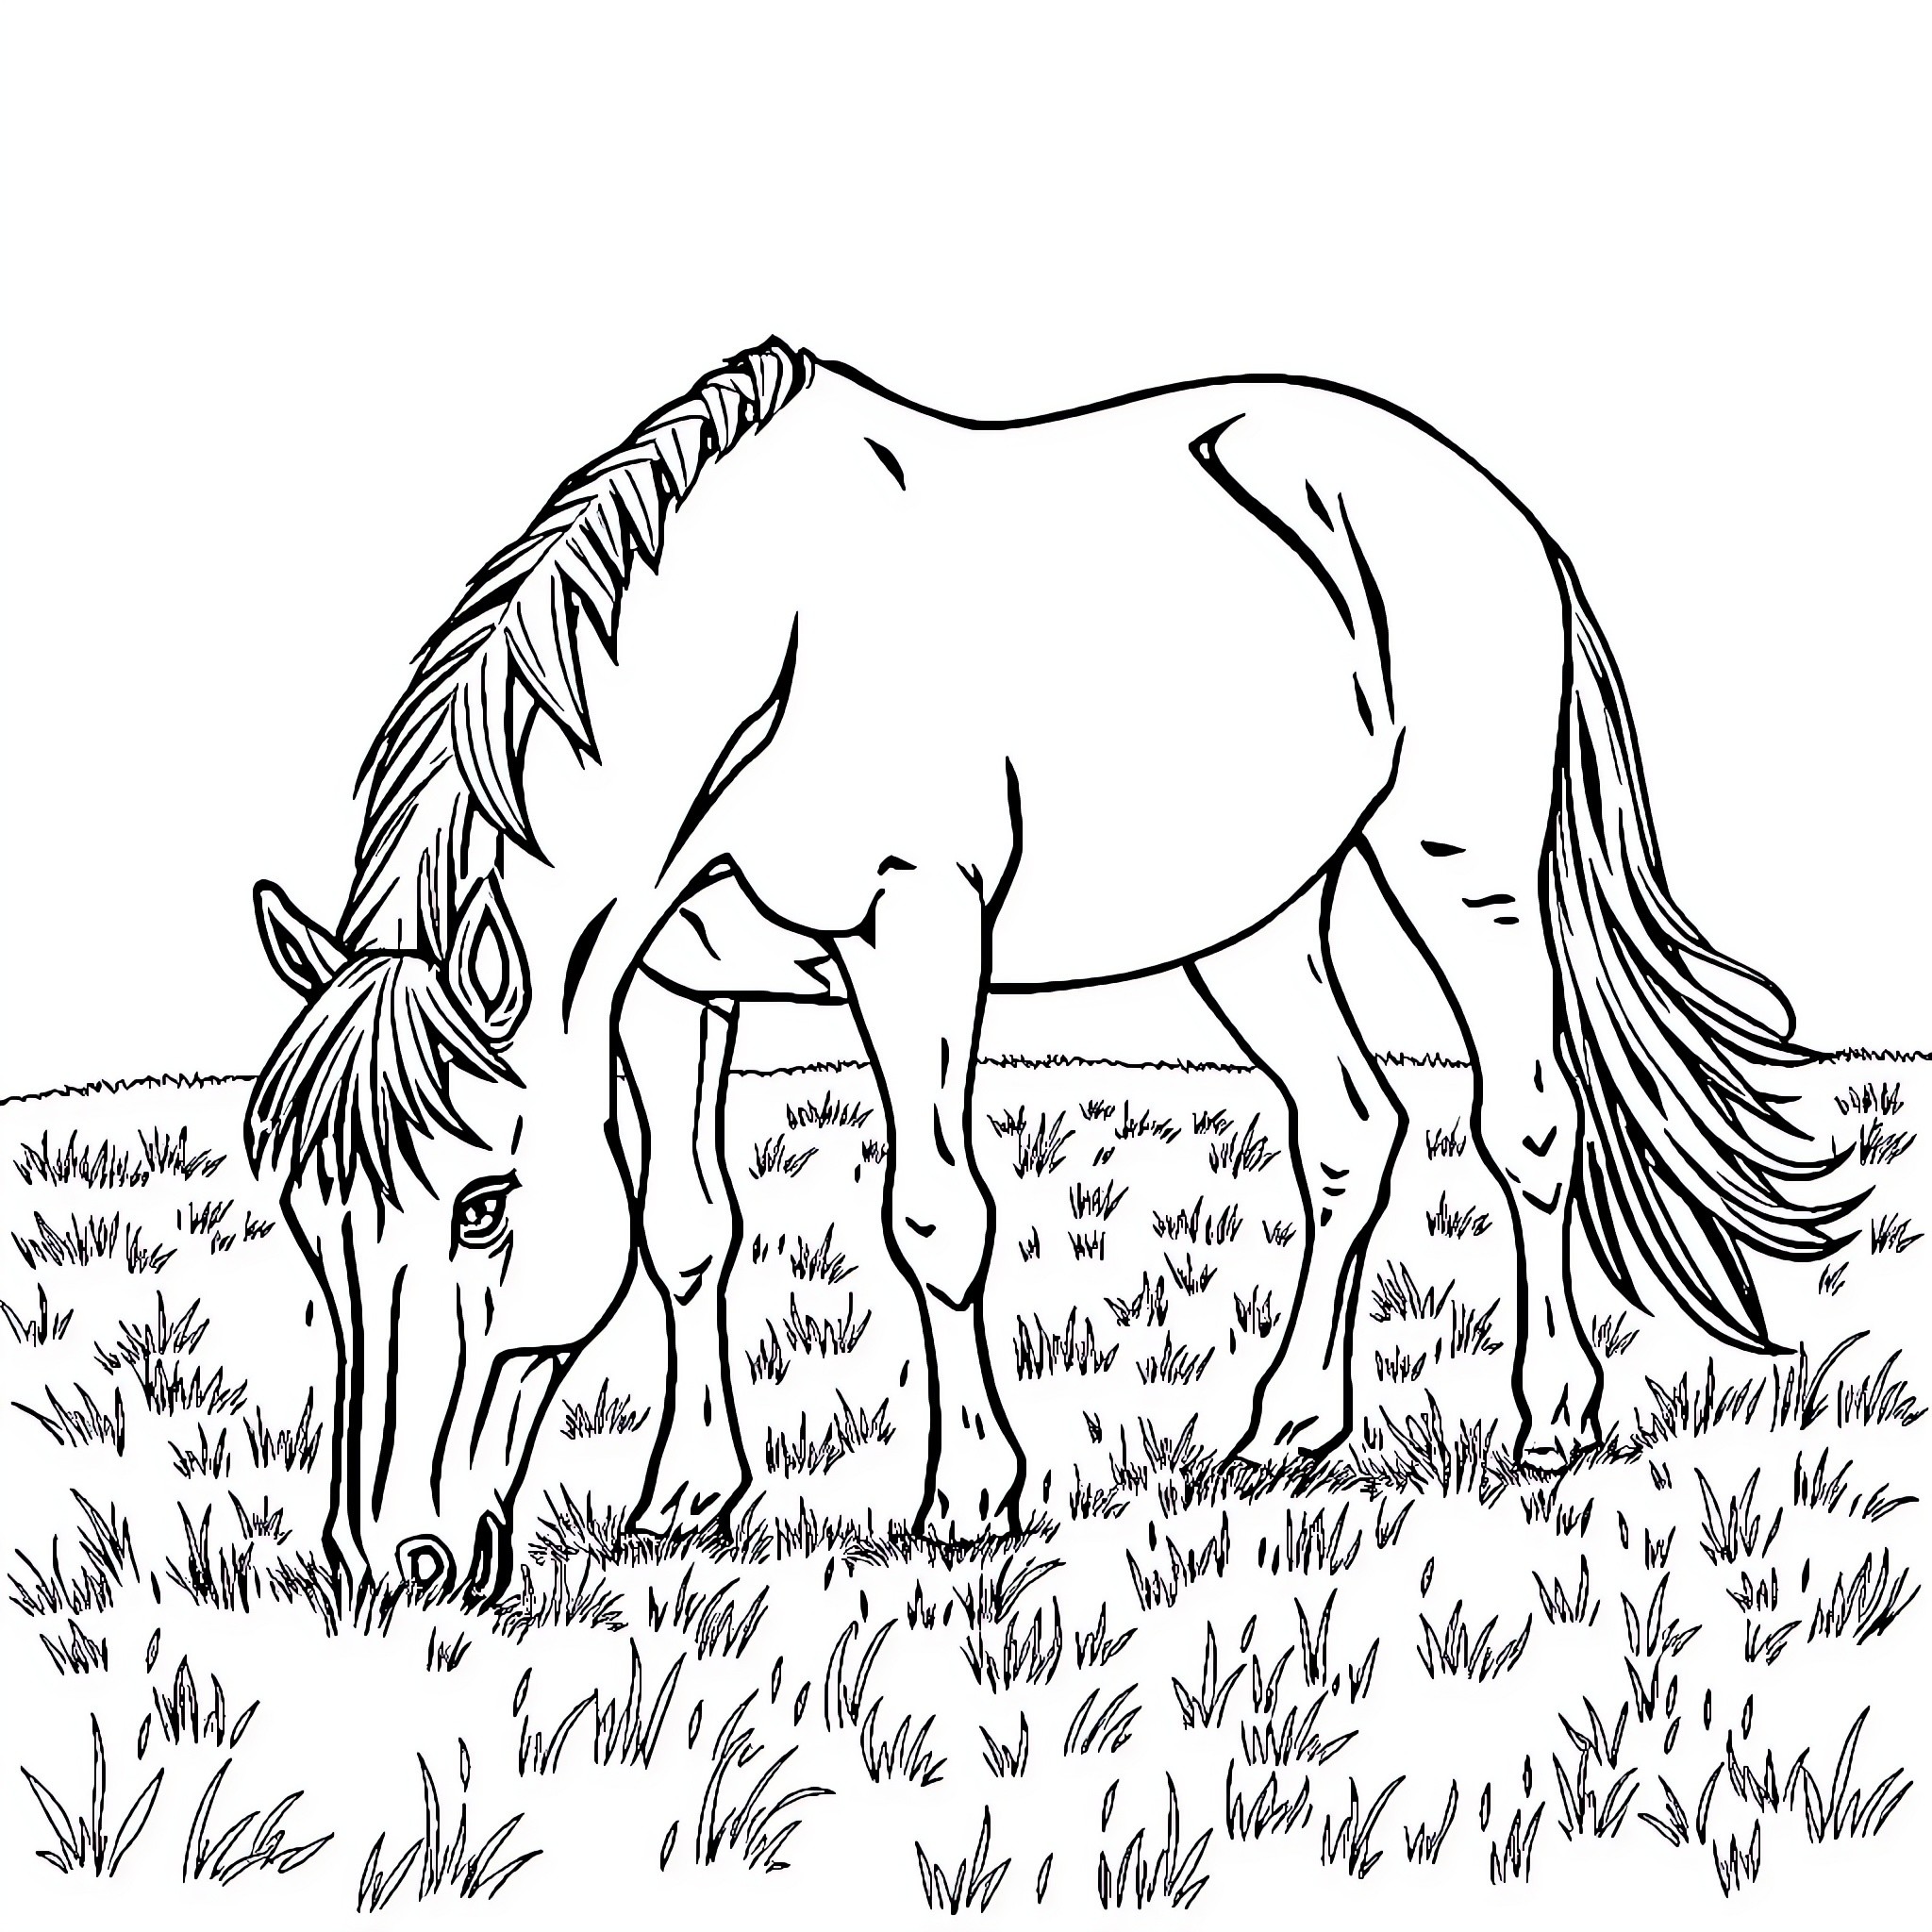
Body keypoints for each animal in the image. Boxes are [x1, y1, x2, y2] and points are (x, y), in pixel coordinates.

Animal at [246, 337, 1851, 1604]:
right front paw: (692, 1490)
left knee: (1527, 1124)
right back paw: (1288, 1423)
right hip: (1255, 927)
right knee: (1350, 1130)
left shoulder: (915, 933)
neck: (765, 645)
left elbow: (935, 1217)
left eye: (482, 1208)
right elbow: (685, 1229)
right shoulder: (665, 986)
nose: (387, 1564)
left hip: (1465, 872)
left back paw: (1552, 1414)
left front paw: (970, 1498)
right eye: (307, 1225)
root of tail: (1493, 506)